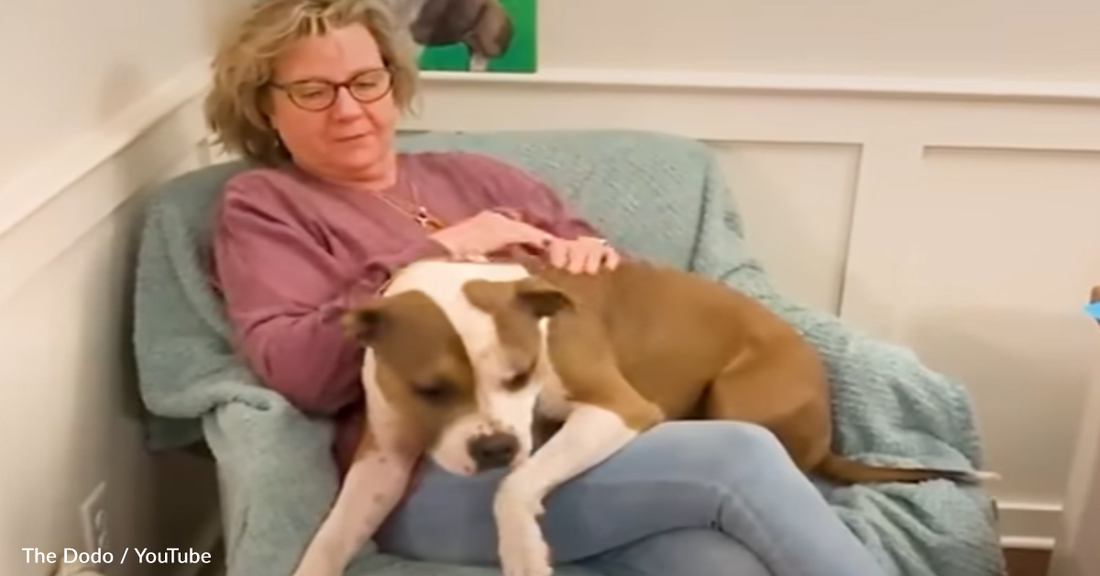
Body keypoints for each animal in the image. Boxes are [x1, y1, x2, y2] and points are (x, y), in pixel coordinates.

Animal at [288, 256, 994, 576]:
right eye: (429, 390)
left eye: (519, 374)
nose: (493, 449)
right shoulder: (383, 458)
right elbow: (330, 537)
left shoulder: (618, 409)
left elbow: (515, 487)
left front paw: (524, 551)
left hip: (740, 395)